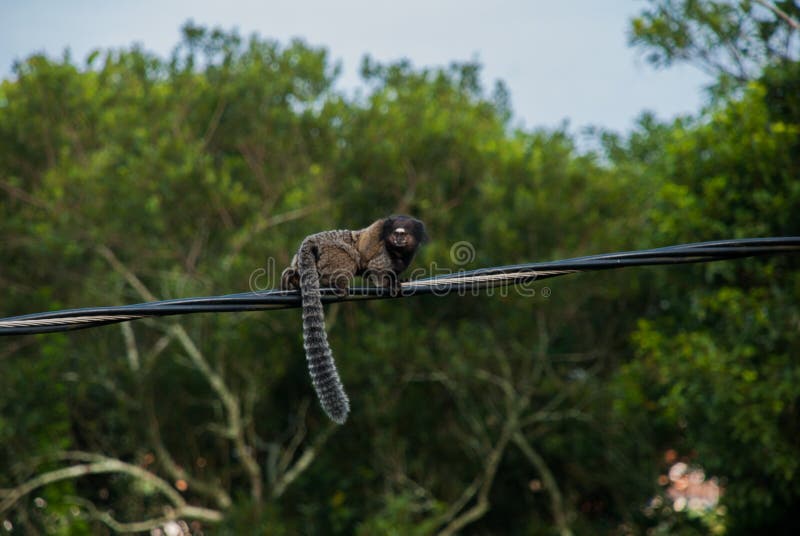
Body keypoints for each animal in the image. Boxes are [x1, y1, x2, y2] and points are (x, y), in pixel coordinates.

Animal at [282, 216, 428, 426]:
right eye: (395, 234)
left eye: (405, 234)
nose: (398, 239)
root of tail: (311, 240)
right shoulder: (382, 254)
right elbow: (376, 270)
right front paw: (389, 284)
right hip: (334, 252)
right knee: (349, 260)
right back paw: (338, 287)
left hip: (302, 259)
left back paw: (293, 279)